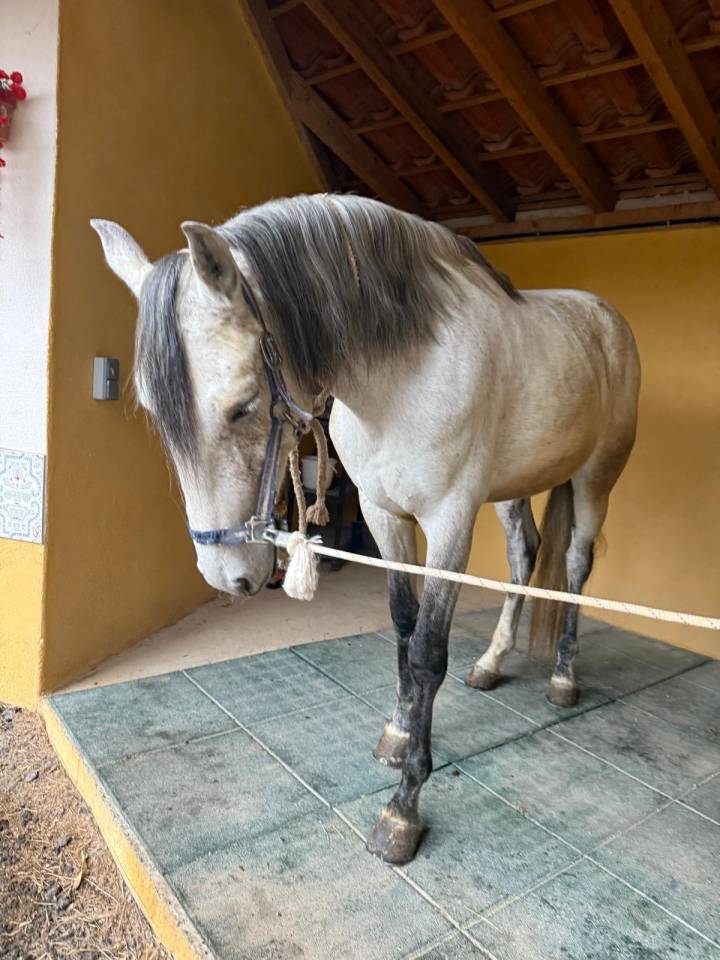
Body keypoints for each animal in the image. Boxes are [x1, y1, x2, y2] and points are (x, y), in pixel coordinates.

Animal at [91, 194, 640, 865]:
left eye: (241, 406)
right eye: (153, 410)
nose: (229, 576)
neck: (404, 379)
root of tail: (605, 319)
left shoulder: (449, 523)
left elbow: (427, 652)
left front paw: (402, 810)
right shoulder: (385, 516)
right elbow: (403, 628)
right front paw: (398, 734)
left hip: (595, 481)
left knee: (577, 567)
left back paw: (563, 678)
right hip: (513, 488)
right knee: (524, 554)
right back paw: (492, 662)